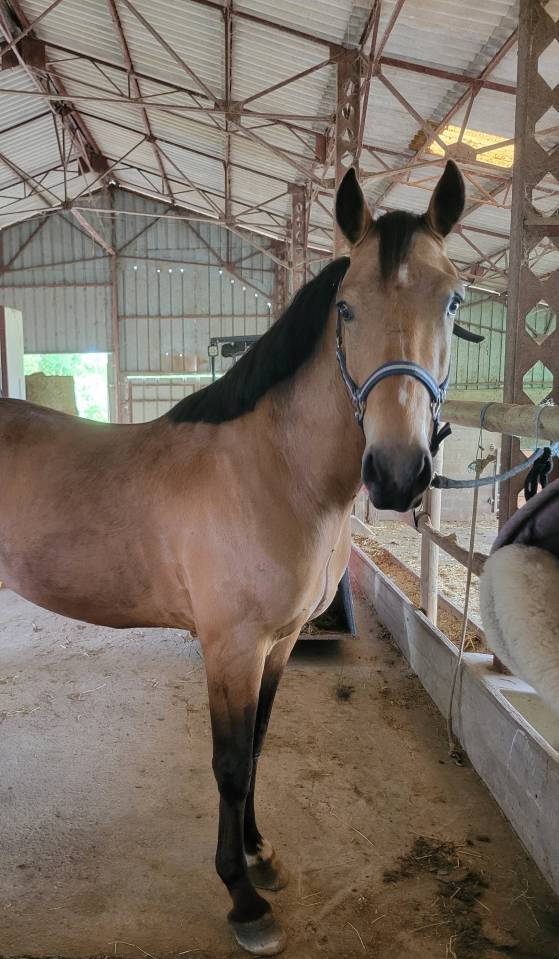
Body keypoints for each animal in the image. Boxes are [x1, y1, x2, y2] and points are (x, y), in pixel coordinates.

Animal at [0, 161, 470, 956]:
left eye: (453, 300)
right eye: (345, 308)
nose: (397, 472)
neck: (273, 471)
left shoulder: (278, 644)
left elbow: (257, 745)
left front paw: (259, 853)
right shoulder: (230, 647)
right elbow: (228, 762)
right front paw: (243, 898)